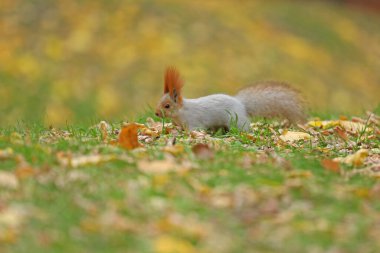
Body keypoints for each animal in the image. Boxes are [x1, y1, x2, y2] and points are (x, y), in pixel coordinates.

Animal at [154, 66, 306, 131]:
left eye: (167, 106)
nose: (156, 113)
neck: (182, 111)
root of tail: (241, 104)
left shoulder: (194, 122)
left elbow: (195, 130)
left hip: (236, 121)